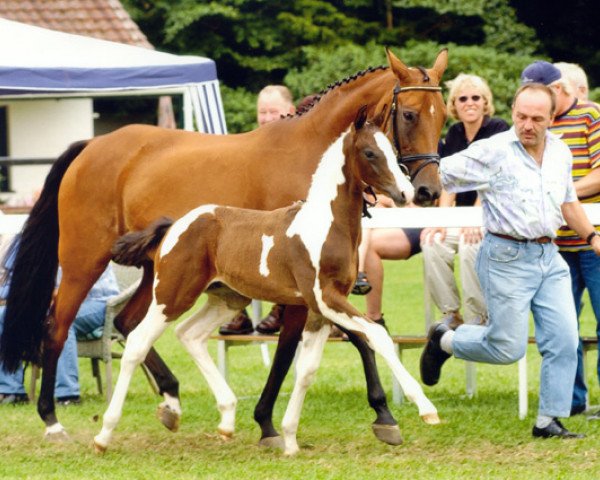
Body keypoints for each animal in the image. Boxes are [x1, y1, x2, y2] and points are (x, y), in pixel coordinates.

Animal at [95, 108, 440, 454]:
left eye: (393, 151)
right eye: (369, 153)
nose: (407, 194)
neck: (326, 225)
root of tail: (174, 225)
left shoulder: (319, 309)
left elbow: (307, 369)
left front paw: (289, 438)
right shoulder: (325, 297)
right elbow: (376, 335)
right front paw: (425, 409)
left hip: (227, 298)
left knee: (189, 334)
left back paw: (226, 420)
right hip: (171, 295)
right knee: (137, 342)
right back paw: (105, 435)